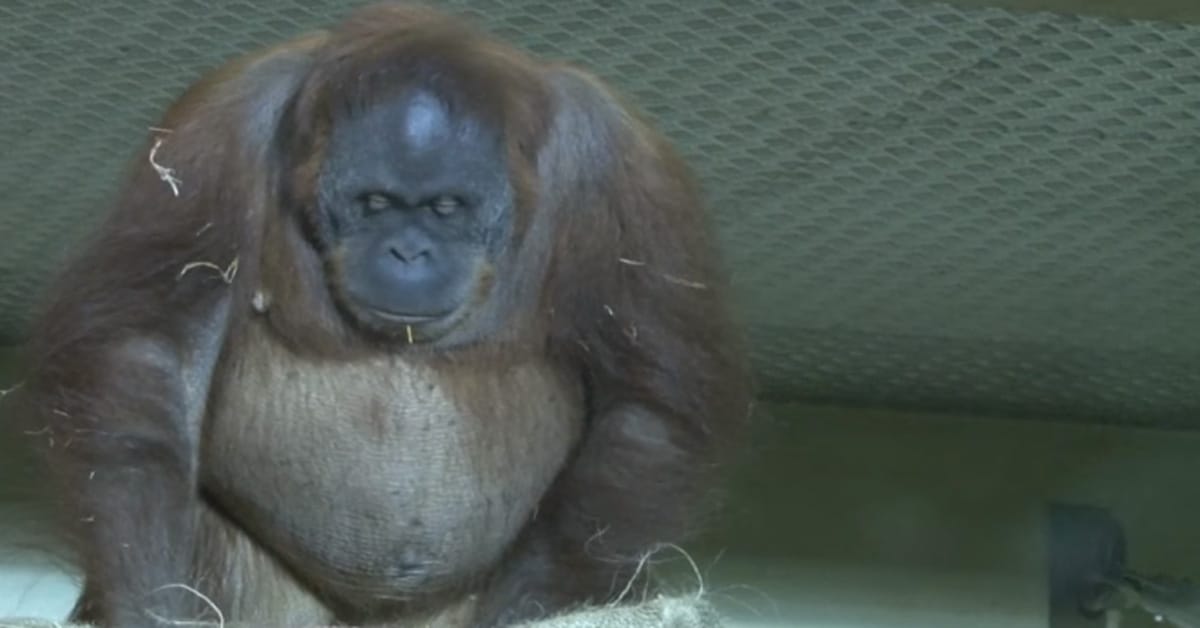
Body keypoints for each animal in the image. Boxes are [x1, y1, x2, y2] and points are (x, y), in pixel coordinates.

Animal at [18, 3, 752, 626]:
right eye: (374, 203)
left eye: (446, 207)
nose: (407, 251)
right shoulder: (220, 125)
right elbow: (148, 344)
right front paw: (151, 604)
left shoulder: (622, 159)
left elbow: (649, 403)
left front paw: (531, 608)